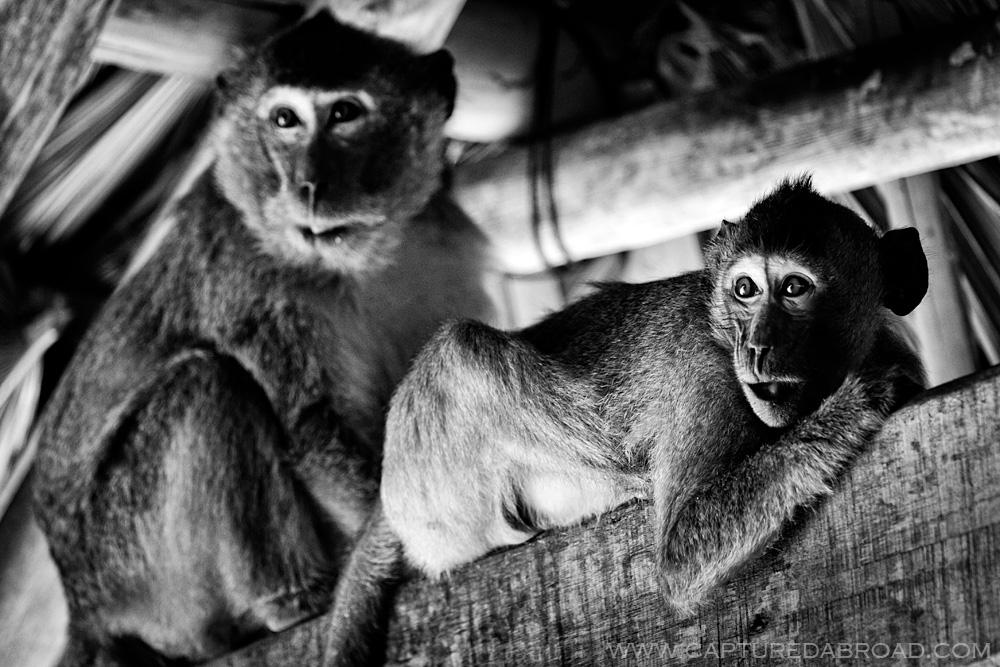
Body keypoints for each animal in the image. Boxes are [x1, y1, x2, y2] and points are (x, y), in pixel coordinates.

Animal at [32, 12, 494, 667]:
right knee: (207, 385)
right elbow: (311, 426)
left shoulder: (445, 243)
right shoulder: (248, 276)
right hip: (130, 564)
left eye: (344, 113)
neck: (359, 259)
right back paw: (290, 602)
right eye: (284, 121)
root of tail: (83, 608)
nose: (308, 185)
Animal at [379, 177, 927, 615]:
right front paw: (855, 402)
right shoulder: (706, 376)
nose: (756, 346)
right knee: (463, 347)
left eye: (794, 288)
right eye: (745, 290)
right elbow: (681, 555)